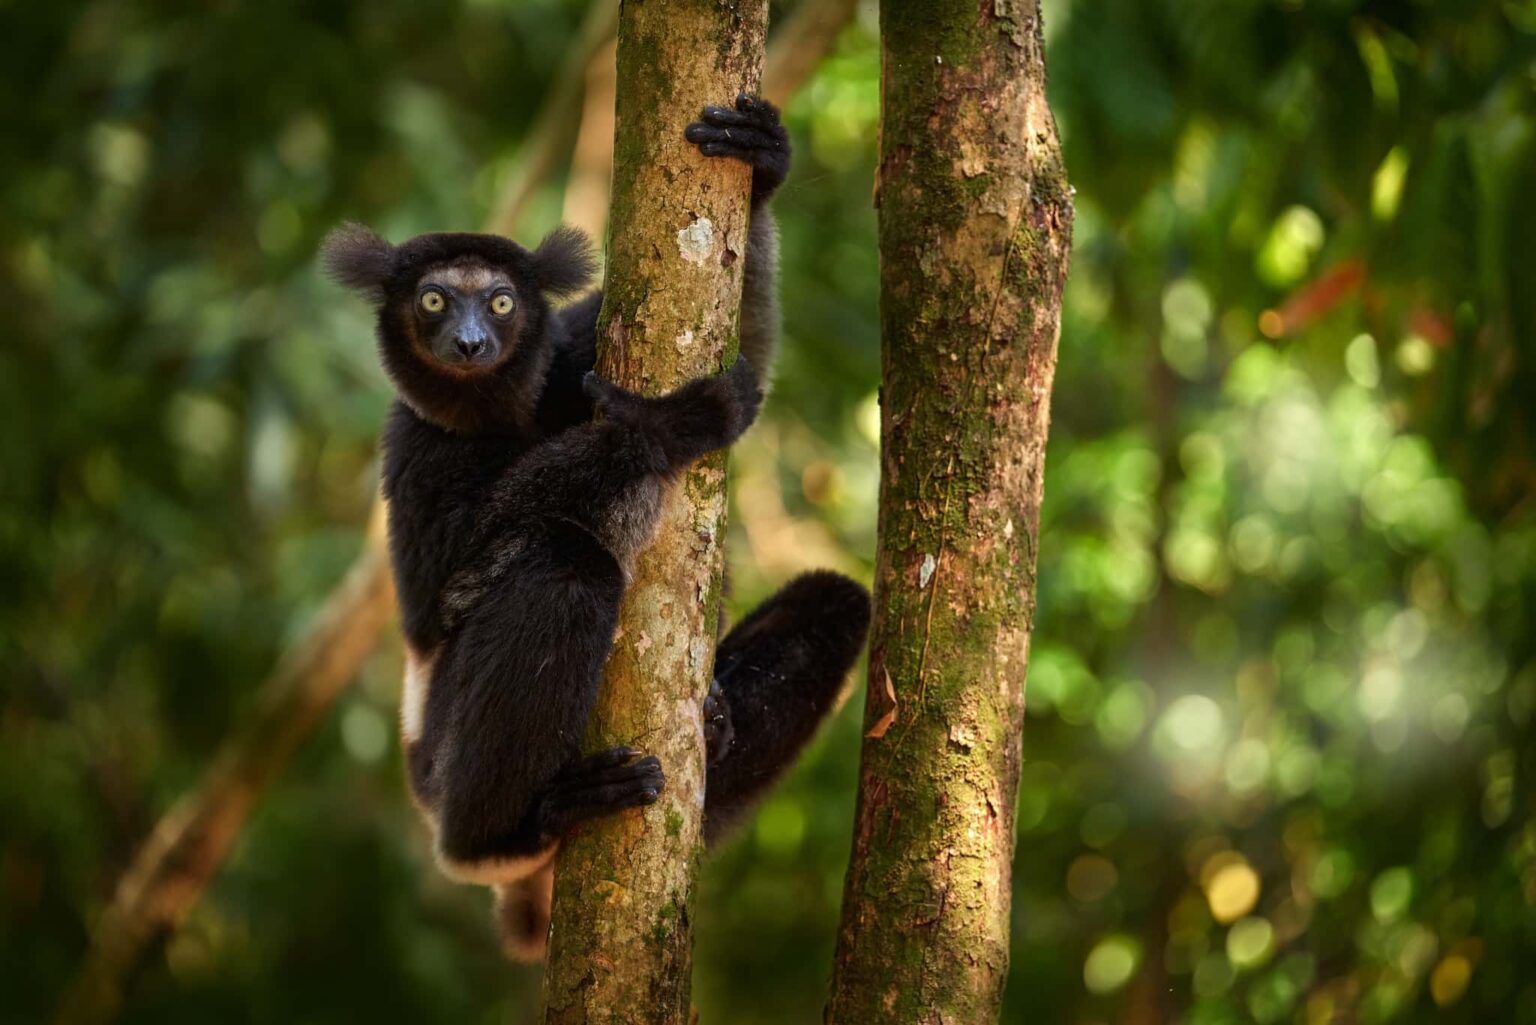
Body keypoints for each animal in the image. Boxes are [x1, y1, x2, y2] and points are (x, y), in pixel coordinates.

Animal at [323, 94, 871, 958]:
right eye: (434, 302)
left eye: (502, 302)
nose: (469, 343)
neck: (501, 412)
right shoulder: (414, 448)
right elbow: (456, 579)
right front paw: (671, 424)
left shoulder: (569, 351)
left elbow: (748, 346)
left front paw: (759, 167)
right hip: (441, 760)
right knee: (562, 565)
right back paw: (517, 826)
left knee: (836, 602)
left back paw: (714, 726)